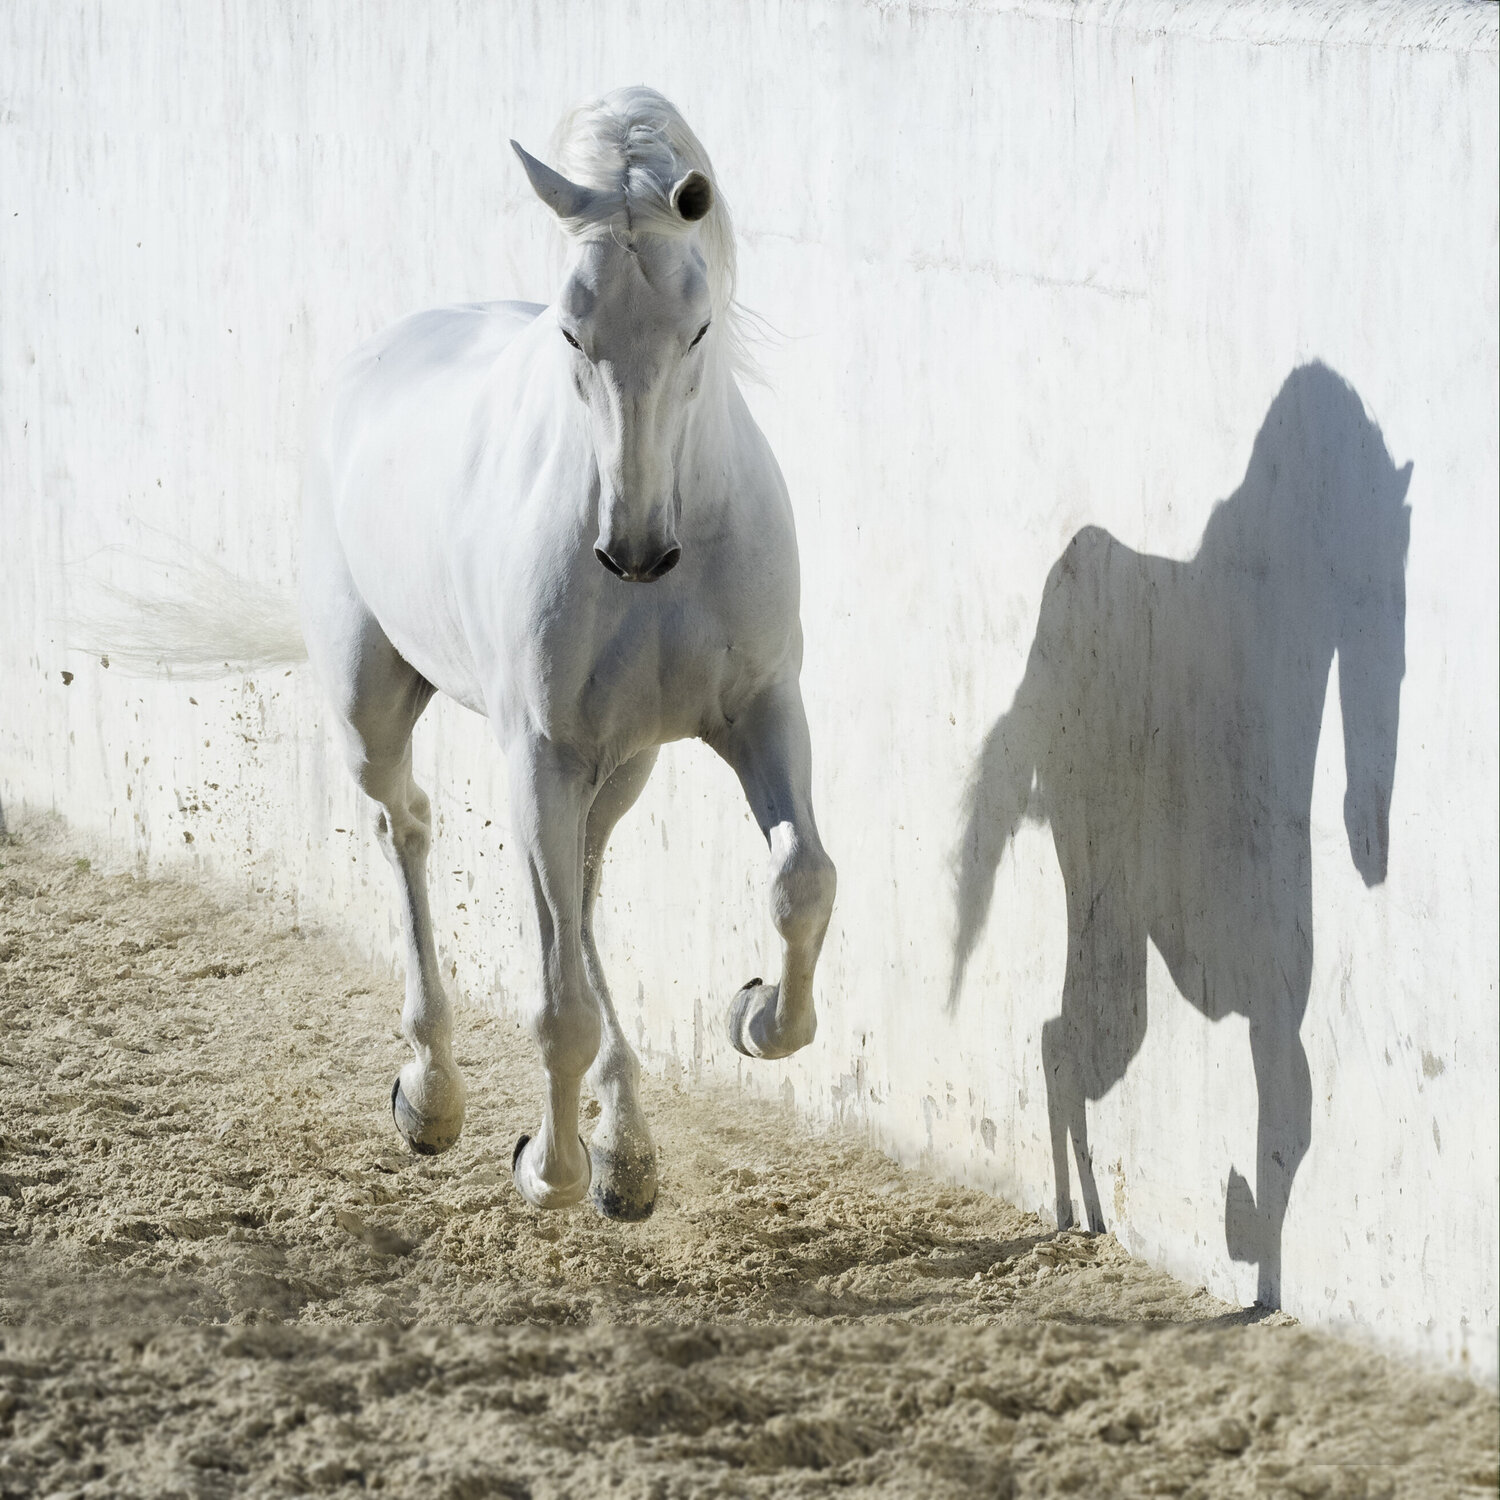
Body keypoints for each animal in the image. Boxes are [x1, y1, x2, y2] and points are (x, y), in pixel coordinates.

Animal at [299, 88, 836, 1219]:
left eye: (698, 326)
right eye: (571, 329)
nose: (633, 552)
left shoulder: (762, 711)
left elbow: (802, 879)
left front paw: (758, 1016)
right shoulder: (540, 751)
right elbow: (556, 1004)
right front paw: (548, 1167)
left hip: (617, 763)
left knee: (581, 889)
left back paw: (626, 1148)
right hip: (377, 706)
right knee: (406, 826)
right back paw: (433, 1095)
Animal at [950, 363, 1411, 1306]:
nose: (1369, 844)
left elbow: (1285, 1116)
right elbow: (1283, 1120)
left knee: (1066, 1043)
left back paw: (1088, 1215)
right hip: (1113, 929)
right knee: (1062, 1043)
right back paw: (1077, 1215)